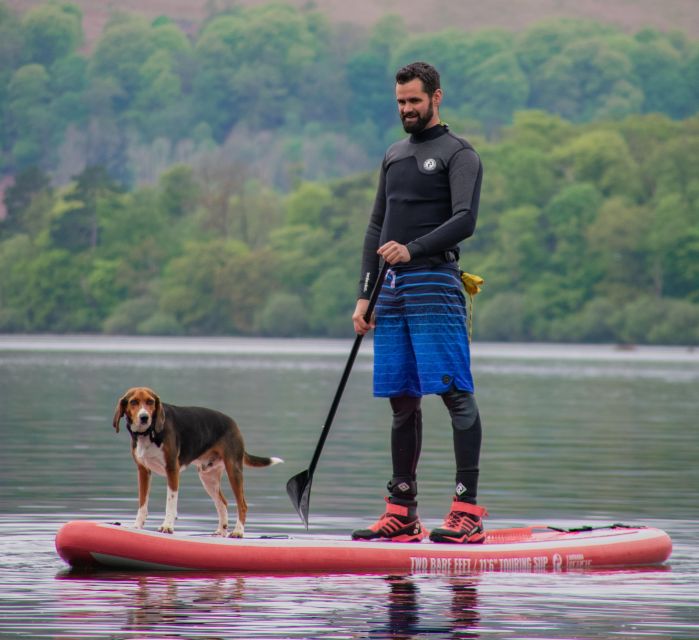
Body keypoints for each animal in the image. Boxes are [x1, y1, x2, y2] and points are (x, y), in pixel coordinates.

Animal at [112, 388, 282, 536]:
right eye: (133, 402)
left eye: (150, 402)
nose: (144, 417)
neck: (149, 433)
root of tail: (233, 424)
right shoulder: (143, 471)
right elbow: (142, 504)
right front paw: (137, 526)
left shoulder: (172, 469)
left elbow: (170, 503)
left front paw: (167, 526)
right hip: (208, 477)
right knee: (223, 503)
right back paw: (220, 531)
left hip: (233, 470)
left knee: (242, 505)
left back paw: (238, 532)